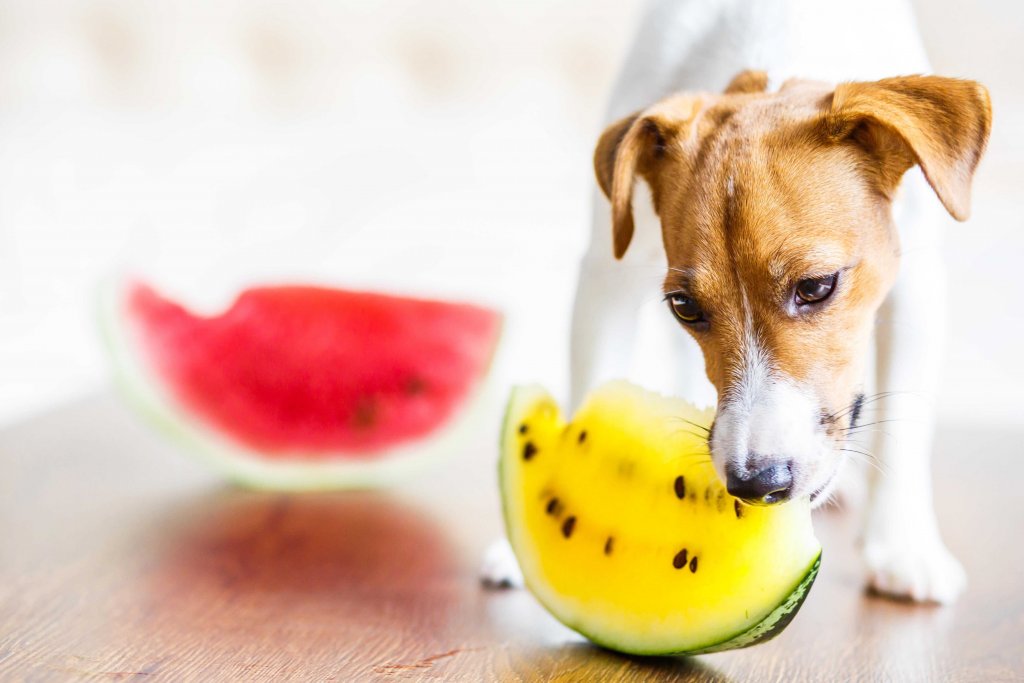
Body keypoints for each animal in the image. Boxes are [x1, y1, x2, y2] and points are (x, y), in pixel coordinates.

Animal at [483, 0, 995, 602]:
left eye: (816, 286)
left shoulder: (917, 285)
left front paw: (903, 547)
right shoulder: (607, 275)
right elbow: (590, 392)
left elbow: (908, 427)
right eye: (684, 306)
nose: (755, 483)